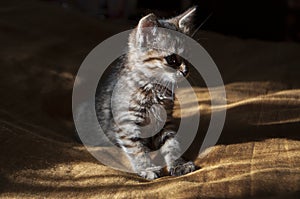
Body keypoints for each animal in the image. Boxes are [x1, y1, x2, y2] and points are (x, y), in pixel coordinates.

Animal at [94, 7, 197, 180]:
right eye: (172, 60)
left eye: (188, 57)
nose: (186, 71)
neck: (153, 89)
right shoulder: (126, 123)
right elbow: (137, 149)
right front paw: (147, 168)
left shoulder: (166, 120)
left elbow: (172, 143)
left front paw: (178, 164)